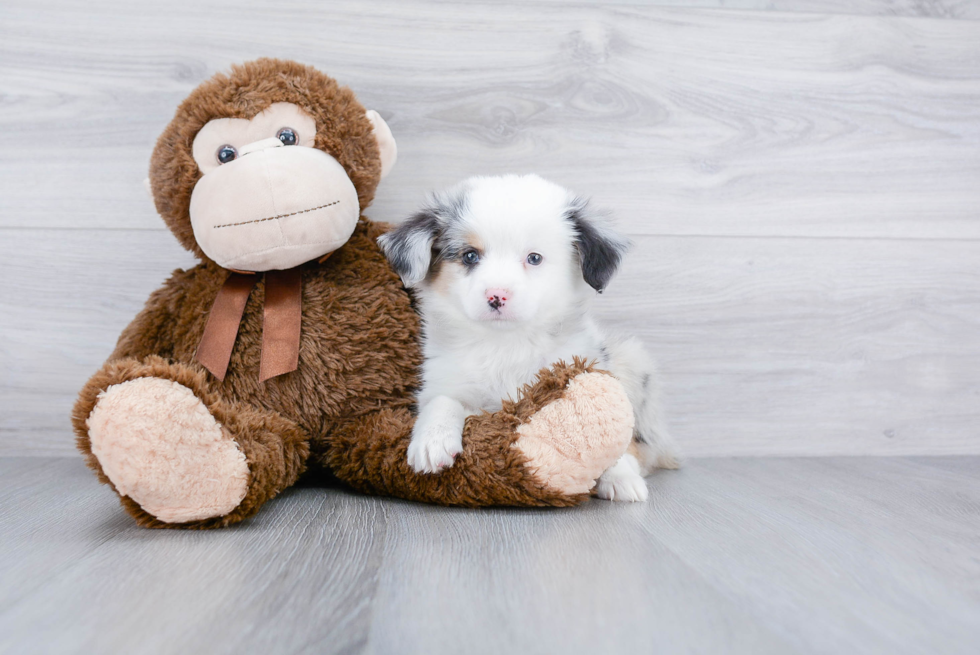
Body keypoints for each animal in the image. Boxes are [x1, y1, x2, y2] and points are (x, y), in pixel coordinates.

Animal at [378, 174, 676, 502]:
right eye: (470, 256)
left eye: (534, 258)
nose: (497, 295)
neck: (507, 344)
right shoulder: (446, 381)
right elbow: (442, 401)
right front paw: (432, 442)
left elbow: (612, 431)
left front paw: (619, 475)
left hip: (633, 361)